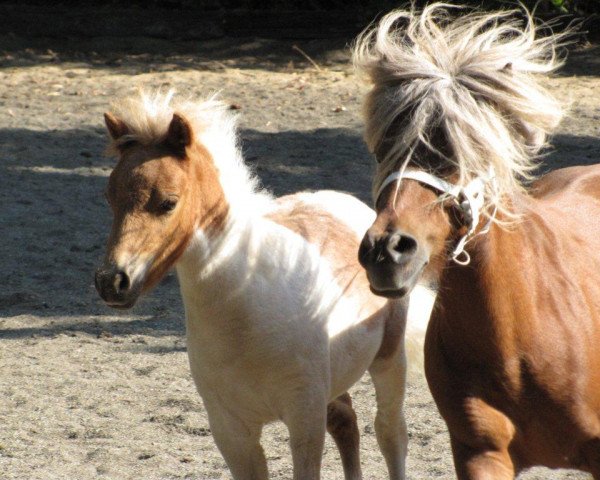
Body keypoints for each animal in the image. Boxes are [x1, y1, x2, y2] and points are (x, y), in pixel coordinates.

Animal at [94, 92, 434, 478]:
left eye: (168, 202)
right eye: (110, 198)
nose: (112, 282)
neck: (245, 312)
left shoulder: (304, 419)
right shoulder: (231, 432)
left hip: (388, 360)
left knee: (390, 431)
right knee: (347, 422)